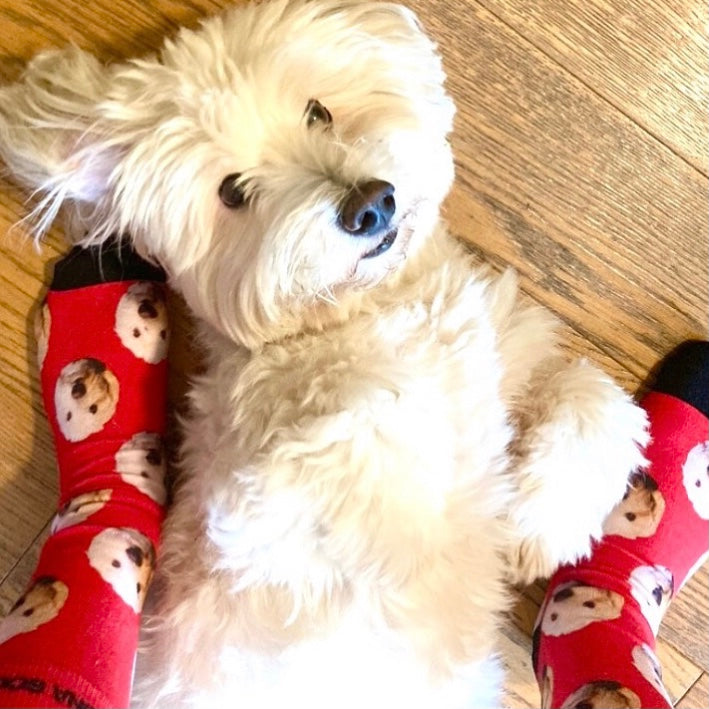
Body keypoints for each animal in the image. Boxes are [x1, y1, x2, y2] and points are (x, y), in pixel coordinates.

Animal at [0, 2, 648, 704]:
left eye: (317, 111)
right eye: (232, 192)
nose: (370, 204)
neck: (360, 311)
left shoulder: (507, 357)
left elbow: (596, 397)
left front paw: (543, 516)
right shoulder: (247, 502)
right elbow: (371, 418)